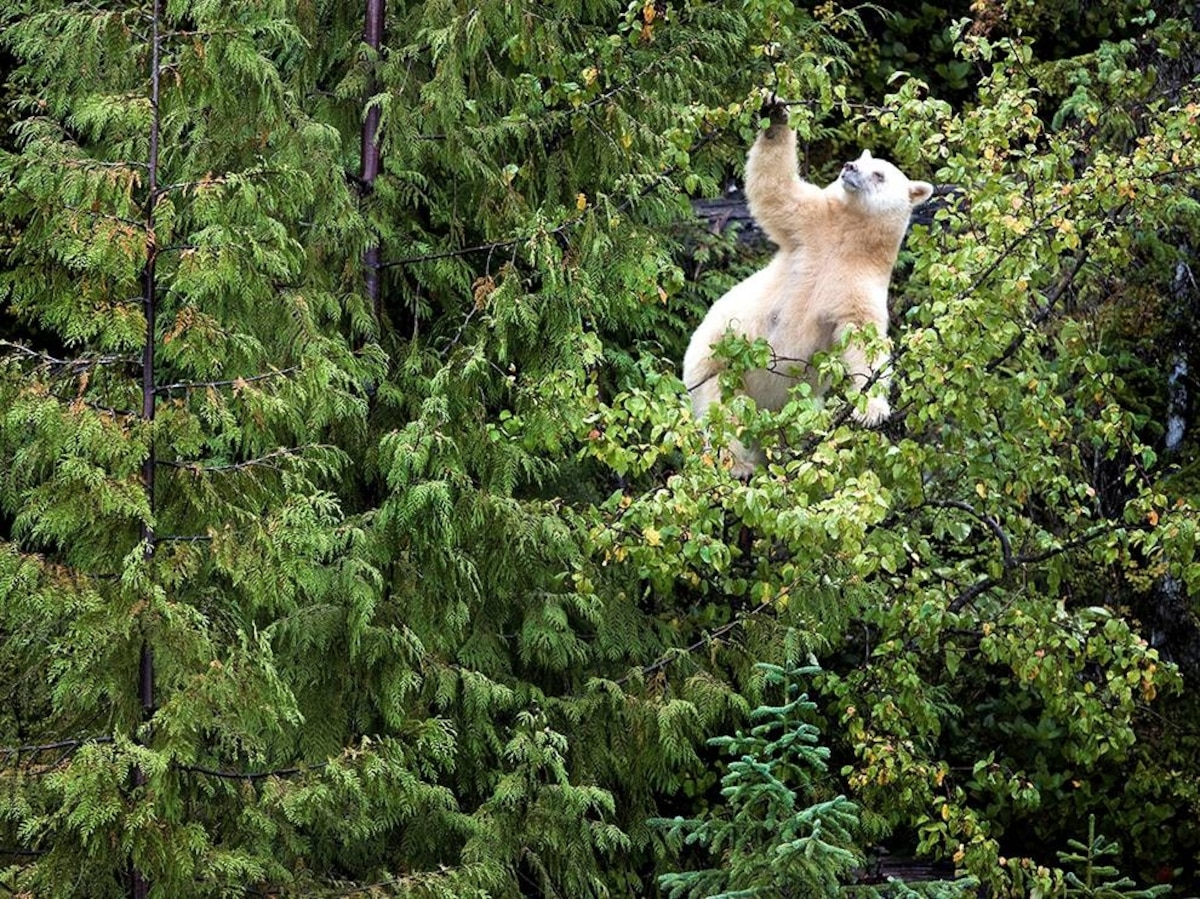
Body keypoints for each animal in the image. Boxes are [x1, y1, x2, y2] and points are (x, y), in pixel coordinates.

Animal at [682, 99, 933, 477]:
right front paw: (775, 114)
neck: (846, 237)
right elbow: (776, 191)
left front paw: (872, 410)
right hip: (713, 366)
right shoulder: (809, 227)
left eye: (879, 174)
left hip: (793, 407)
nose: (849, 167)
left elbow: (864, 338)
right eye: (859, 159)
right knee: (723, 412)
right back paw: (738, 464)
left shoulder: (860, 282)